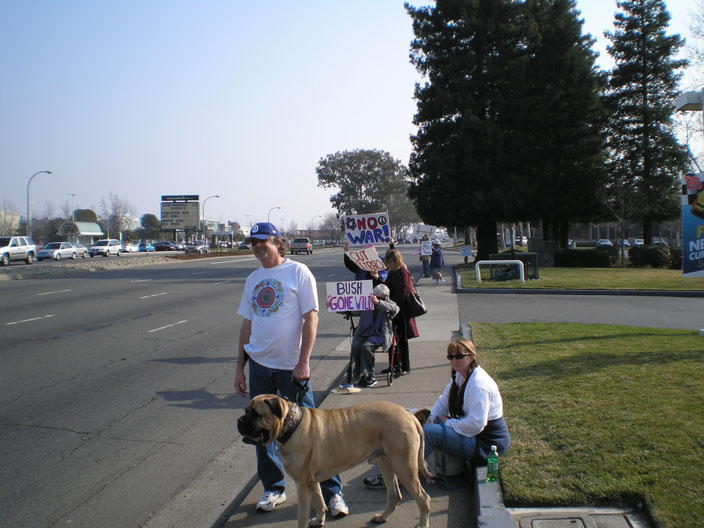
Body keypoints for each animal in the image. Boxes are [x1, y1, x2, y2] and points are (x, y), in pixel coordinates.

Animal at [237, 394, 435, 528]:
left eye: (255, 414)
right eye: (245, 411)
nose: (239, 420)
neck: (290, 425)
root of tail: (409, 416)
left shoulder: (302, 484)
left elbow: (302, 515)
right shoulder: (311, 481)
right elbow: (319, 502)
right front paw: (319, 520)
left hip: (404, 465)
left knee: (423, 498)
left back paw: (422, 523)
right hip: (387, 463)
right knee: (395, 496)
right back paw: (381, 517)